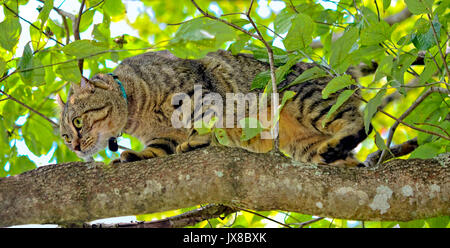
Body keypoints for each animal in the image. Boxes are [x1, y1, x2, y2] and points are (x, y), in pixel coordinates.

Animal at [57, 50, 370, 167]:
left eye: (78, 122)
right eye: (65, 136)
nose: (75, 146)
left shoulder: (195, 91)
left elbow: (202, 119)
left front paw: (198, 141)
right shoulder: (163, 136)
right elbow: (157, 149)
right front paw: (136, 155)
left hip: (307, 100)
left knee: (360, 122)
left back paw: (340, 141)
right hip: (303, 146)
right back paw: (337, 154)